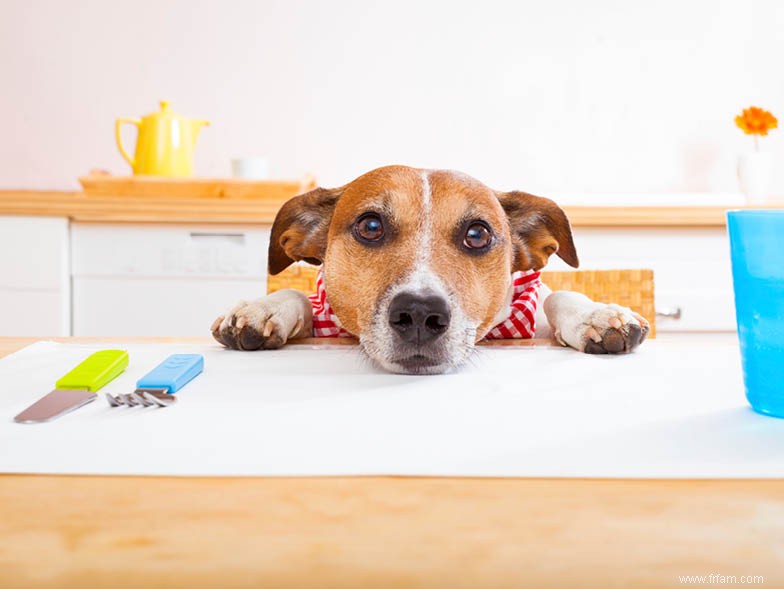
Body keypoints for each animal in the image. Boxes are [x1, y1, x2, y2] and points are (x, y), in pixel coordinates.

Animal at [213, 165, 648, 372]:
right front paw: (263, 308)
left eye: (478, 234)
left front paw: (597, 315)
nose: (420, 313)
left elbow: (558, 295)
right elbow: (298, 295)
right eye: (371, 227)